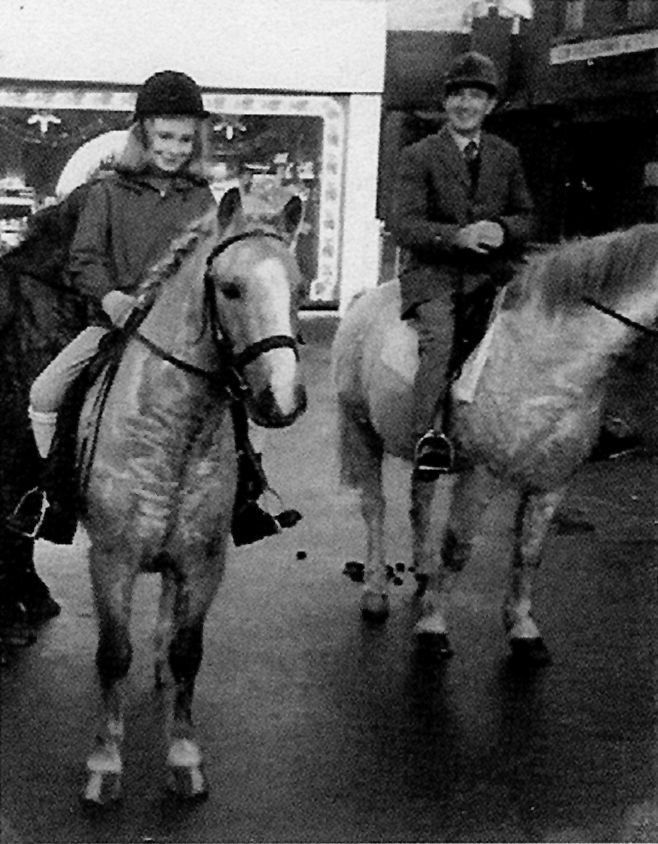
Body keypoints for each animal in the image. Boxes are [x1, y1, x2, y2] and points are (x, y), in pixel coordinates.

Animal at [76, 188, 304, 808]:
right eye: (230, 288)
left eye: (300, 289)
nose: (282, 399)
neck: (174, 428)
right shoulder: (111, 560)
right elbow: (113, 655)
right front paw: (105, 764)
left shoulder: (202, 561)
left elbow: (186, 651)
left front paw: (184, 757)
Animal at [330, 226, 656, 664]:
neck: (549, 358)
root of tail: (364, 298)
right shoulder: (482, 474)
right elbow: (458, 547)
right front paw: (432, 627)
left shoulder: (553, 481)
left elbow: (528, 553)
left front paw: (522, 629)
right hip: (360, 427)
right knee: (375, 509)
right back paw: (376, 593)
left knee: (419, 506)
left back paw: (423, 574)